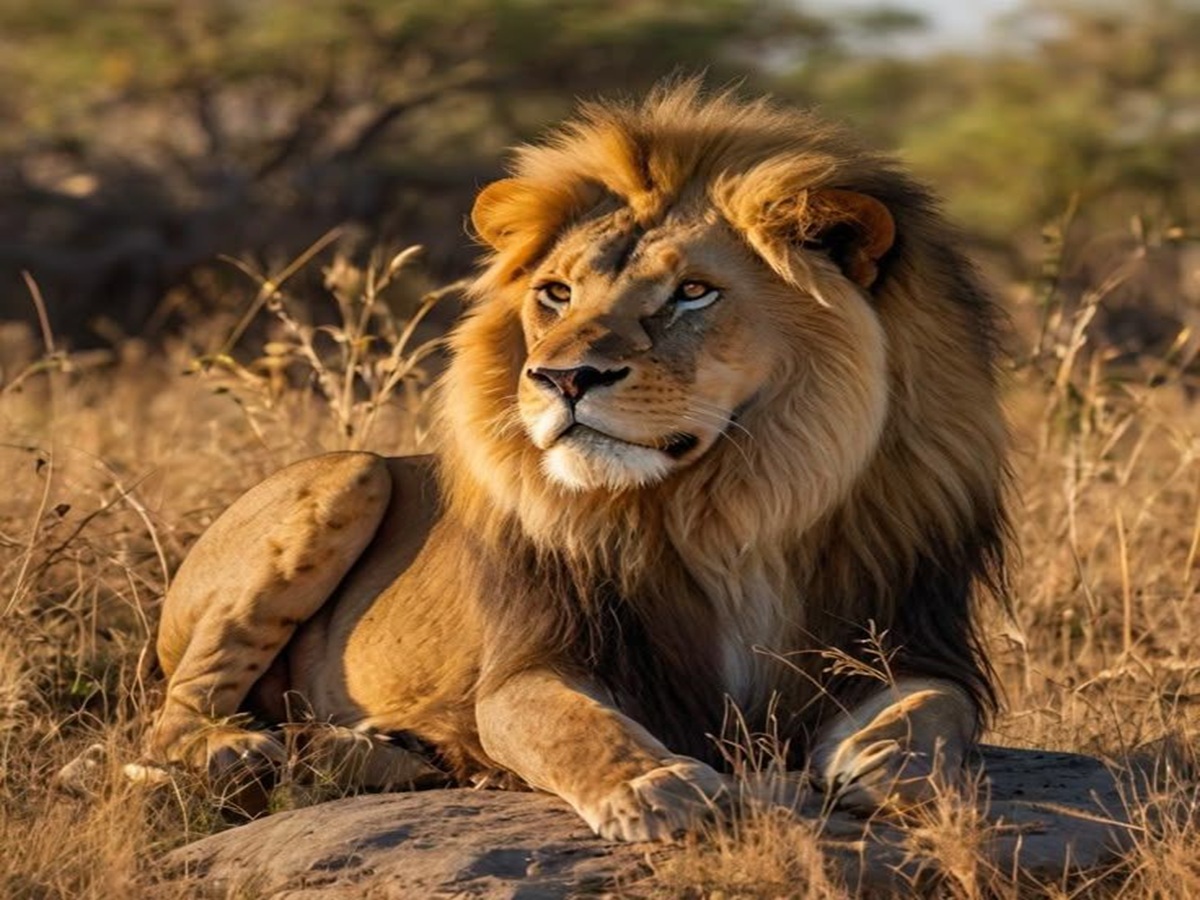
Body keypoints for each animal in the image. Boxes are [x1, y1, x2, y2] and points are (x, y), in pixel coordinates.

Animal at [144, 82, 1009, 842]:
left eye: (693, 292)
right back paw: (248, 749)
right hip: (347, 473)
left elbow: (938, 710)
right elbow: (574, 725)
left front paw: (885, 759)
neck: (733, 505)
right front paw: (653, 786)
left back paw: (373, 752)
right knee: (168, 723)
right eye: (557, 293)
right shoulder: (533, 660)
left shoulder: (911, 635)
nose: (562, 378)